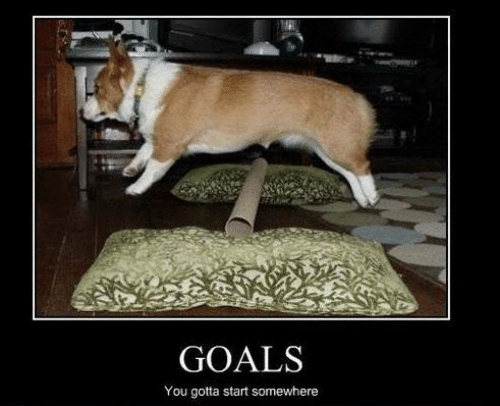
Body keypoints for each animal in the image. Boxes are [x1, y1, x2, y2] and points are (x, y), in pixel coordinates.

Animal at [83, 41, 379, 207]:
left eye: (96, 89)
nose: (81, 111)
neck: (141, 86)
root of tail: (357, 97)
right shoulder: (160, 139)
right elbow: (143, 152)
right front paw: (131, 169)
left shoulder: (170, 145)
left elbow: (152, 170)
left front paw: (136, 187)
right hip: (327, 152)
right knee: (351, 173)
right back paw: (363, 198)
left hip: (337, 147)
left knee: (363, 167)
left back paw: (373, 196)